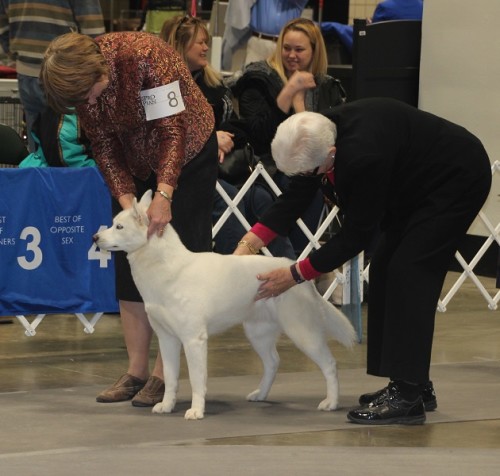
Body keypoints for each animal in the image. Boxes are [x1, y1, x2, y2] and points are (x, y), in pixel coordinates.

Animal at [94, 190, 356, 420]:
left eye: (119, 227)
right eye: (113, 224)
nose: (95, 238)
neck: (166, 267)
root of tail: (300, 277)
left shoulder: (194, 339)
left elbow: (197, 380)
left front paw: (196, 411)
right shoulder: (167, 338)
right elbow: (170, 378)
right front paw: (166, 406)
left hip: (302, 332)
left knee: (330, 364)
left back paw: (331, 403)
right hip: (257, 333)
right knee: (273, 363)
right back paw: (260, 394)